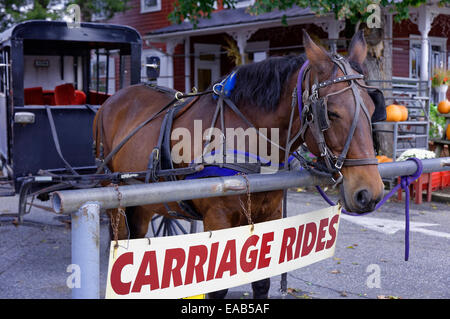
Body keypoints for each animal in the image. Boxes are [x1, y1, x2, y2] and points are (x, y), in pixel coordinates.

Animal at [94, 31, 384, 298]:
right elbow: (218, 289)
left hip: (143, 203)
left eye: (373, 109)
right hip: (114, 195)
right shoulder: (218, 219)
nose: (369, 193)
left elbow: (262, 282)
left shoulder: (269, 214)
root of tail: (111, 100)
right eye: (331, 113)